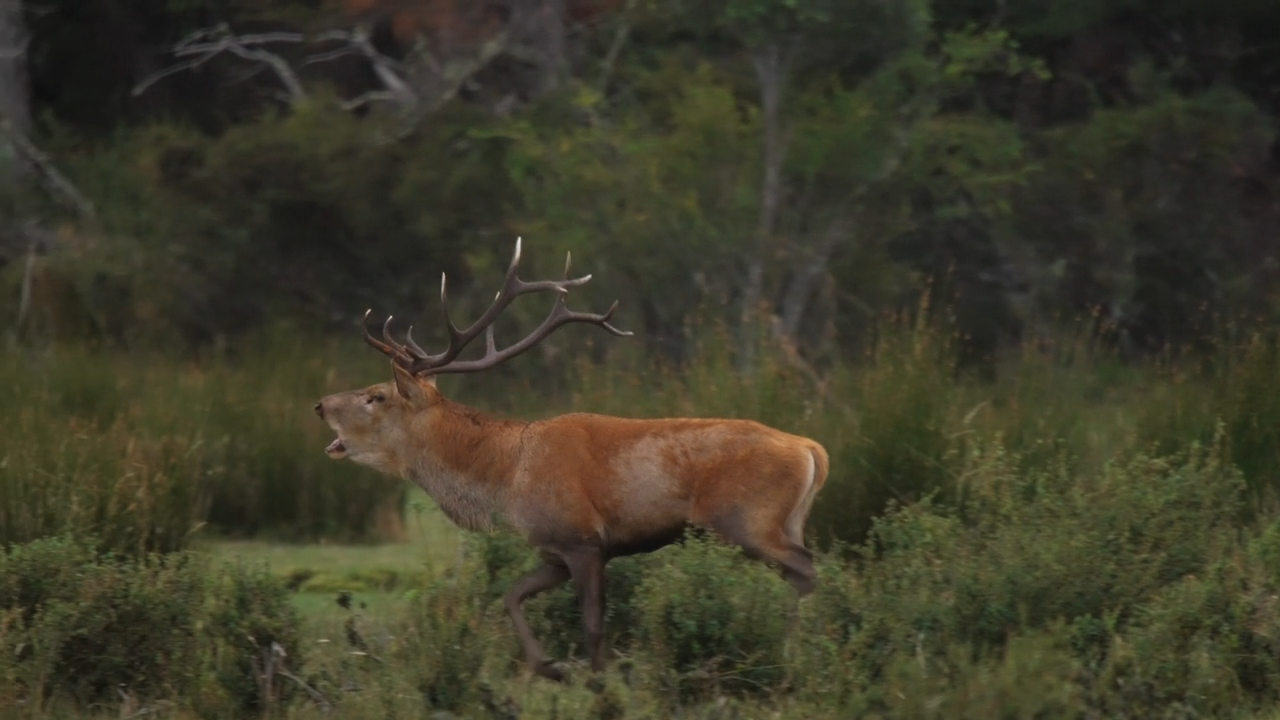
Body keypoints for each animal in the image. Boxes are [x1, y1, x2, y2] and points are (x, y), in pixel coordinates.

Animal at [314, 238, 829, 682]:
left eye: (377, 396)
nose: (319, 404)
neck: (506, 479)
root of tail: (812, 449)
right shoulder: (552, 550)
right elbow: (511, 595)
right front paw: (550, 667)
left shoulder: (583, 539)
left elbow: (594, 627)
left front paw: (596, 683)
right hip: (786, 521)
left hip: (746, 518)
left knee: (806, 569)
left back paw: (793, 654)